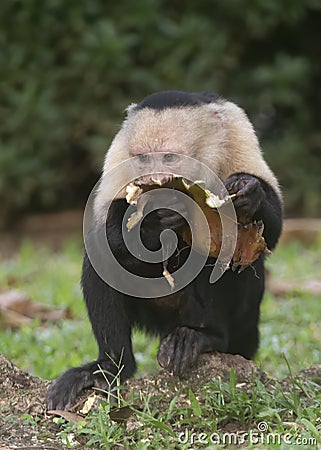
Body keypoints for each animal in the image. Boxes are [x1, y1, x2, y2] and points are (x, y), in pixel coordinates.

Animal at [46, 90, 282, 412]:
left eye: (169, 157)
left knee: (225, 251)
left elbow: (270, 228)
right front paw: (151, 221)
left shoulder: (237, 129)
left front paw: (249, 192)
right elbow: (102, 227)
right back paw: (110, 367)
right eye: (144, 158)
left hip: (240, 323)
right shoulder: (121, 152)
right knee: (102, 256)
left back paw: (205, 337)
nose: (154, 179)